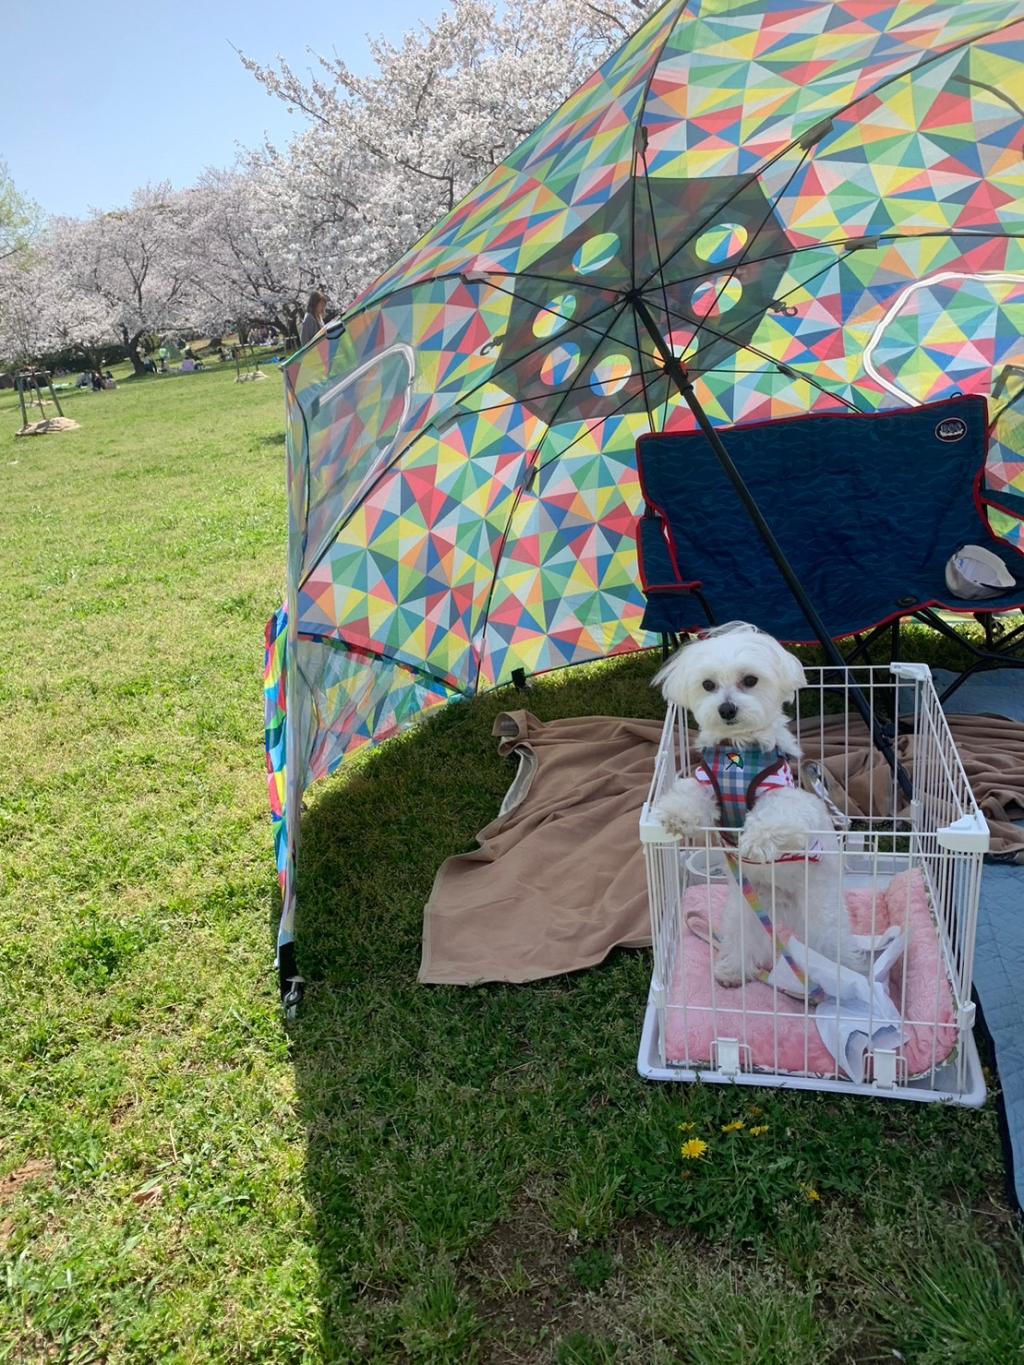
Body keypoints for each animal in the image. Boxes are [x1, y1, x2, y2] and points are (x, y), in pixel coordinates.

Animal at [658, 625, 857, 988]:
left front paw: (756, 841)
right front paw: (675, 815)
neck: (738, 754)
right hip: (746, 906)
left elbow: (775, 816)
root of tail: (784, 903)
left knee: (835, 945)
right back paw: (733, 970)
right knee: (745, 937)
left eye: (750, 680)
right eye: (708, 685)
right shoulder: (707, 782)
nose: (726, 709)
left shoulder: (781, 792)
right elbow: (690, 795)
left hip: (820, 910)